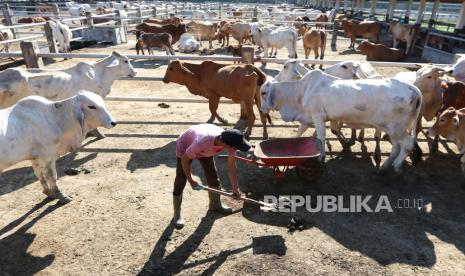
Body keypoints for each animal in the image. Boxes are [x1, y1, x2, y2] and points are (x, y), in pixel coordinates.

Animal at [260, 69, 422, 172]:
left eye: (263, 92)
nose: (262, 110)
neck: (301, 91)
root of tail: (410, 87)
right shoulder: (316, 118)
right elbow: (302, 132)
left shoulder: (318, 116)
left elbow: (321, 137)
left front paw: (321, 158)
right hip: (390, 128)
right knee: (396, 147)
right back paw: (384, 166)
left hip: (396, 127)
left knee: (407, 144)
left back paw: (396, 166)